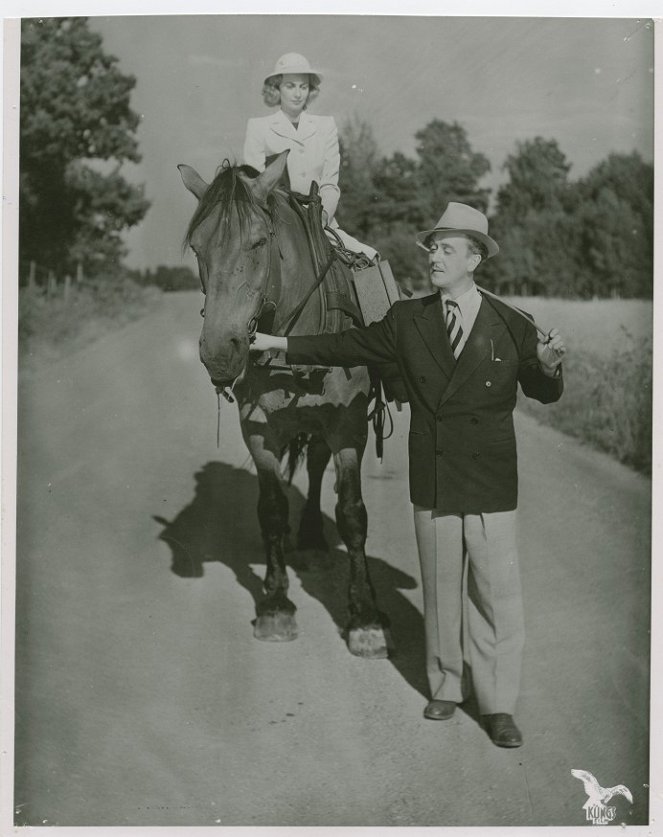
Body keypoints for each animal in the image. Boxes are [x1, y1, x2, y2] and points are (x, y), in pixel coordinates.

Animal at [179, 152, 392, 660]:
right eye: (197, 247)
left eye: (259, 242)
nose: (219, 352)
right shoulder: (258, 430)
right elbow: (272, 510)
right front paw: (276, 604)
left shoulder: (348, 427)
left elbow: (353, 513)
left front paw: (365, 616)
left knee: (316, 467)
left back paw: (314, 538)